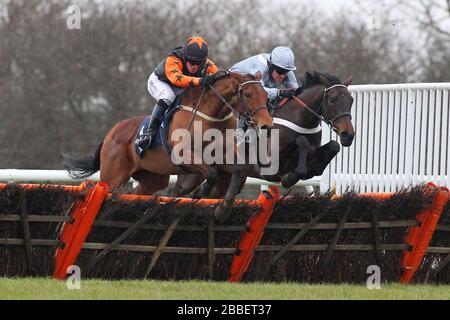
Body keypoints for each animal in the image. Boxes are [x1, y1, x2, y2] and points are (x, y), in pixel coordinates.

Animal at [63, 71, 274, 209]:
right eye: (247, 94)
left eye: (265, 95)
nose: (267, 125)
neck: (210, 116)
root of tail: (111, 133)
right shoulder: (183, 155)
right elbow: (211, 174)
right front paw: (200, 192)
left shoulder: (221, 156)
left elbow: (237, 169)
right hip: (112, 177)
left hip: (152, 178)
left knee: (135, 193)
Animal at [174, 71, 356, 205]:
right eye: (332, 100)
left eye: (351, 100)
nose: (348, 135)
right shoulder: (268, 163)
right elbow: (300, 144)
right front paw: (289, 177)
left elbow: (332, 147)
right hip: (190, 176)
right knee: (176, 191)